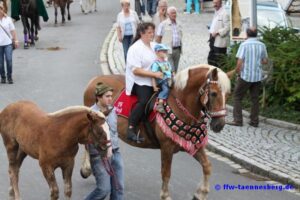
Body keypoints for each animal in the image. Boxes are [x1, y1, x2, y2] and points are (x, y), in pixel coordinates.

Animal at [81, 64, 231, 200]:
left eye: (227, 95)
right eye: (214, 93)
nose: (220, 124)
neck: (180, 106)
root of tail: (96, 80)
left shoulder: (193, 144)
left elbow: (207, 166)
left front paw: (201, 194)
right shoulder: (167, 147)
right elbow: (166, 172)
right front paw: (165, 196)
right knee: (87, 145)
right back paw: (86, 169)